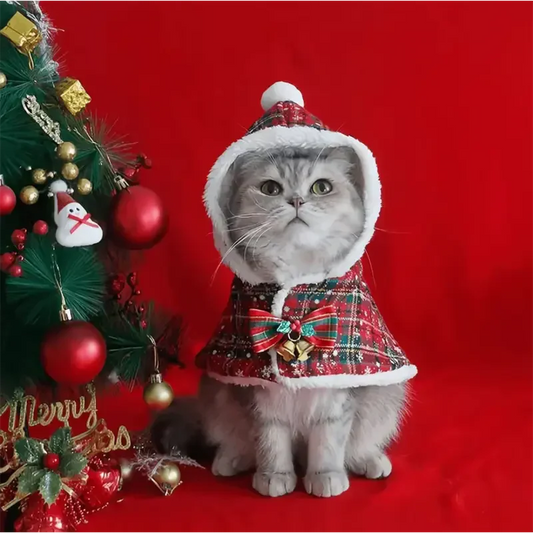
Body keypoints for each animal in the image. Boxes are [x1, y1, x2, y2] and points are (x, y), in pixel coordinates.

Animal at [151, 81, 416, 496]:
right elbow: (270, 441)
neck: (295, 290)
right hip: (216, 396)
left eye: (321, 187)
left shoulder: (336, 391)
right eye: (270, 188)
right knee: (233, 438)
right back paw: (231, 460)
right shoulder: (258, 393)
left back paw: (370, 461)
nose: (296, 200)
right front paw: (274, 477)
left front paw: (325, 477)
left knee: (361, 443)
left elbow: (329, 443)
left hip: (385, 400)